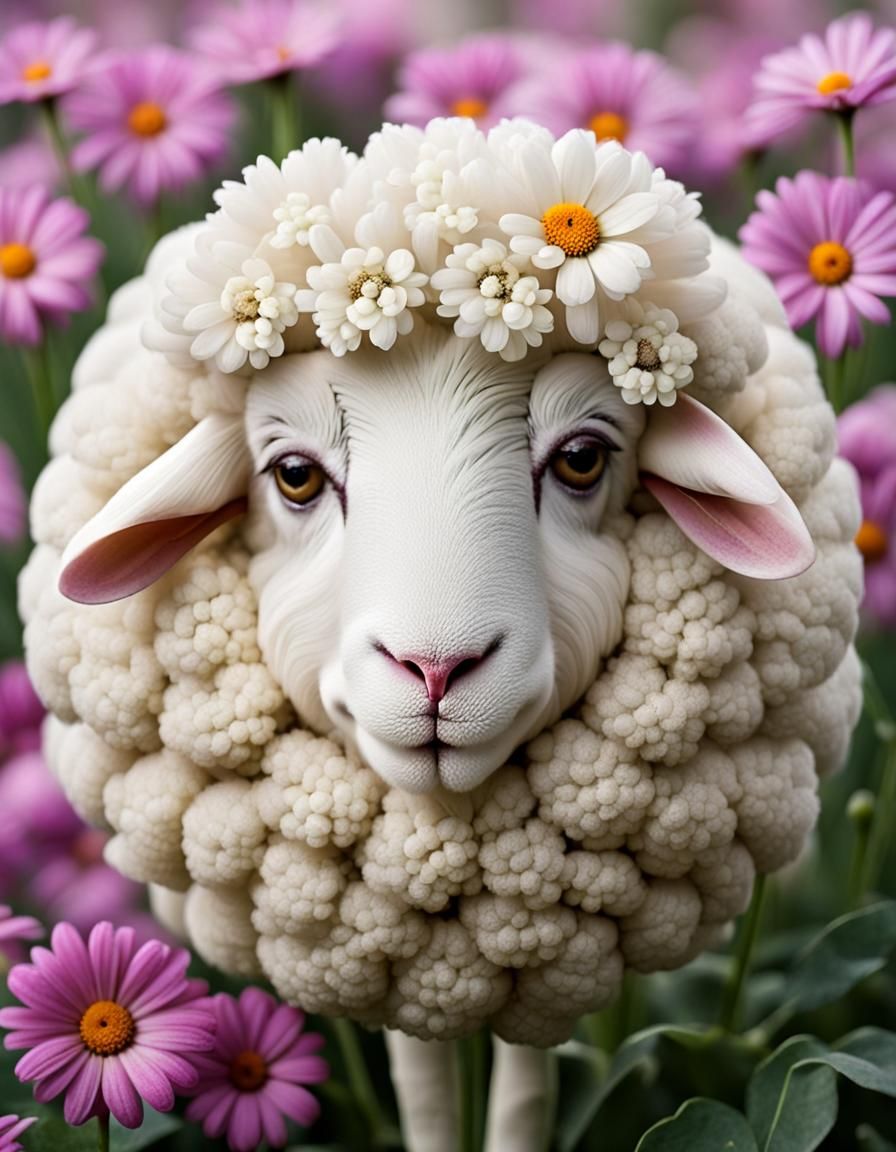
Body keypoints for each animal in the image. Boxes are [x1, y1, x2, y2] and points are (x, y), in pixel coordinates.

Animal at [23, 121, 863, 1152]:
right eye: (294, 475)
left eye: (582, 458)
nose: (436, 667)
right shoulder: (394, 967)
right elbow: (422, 1092)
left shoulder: (539, 967)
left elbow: (526, 1093)